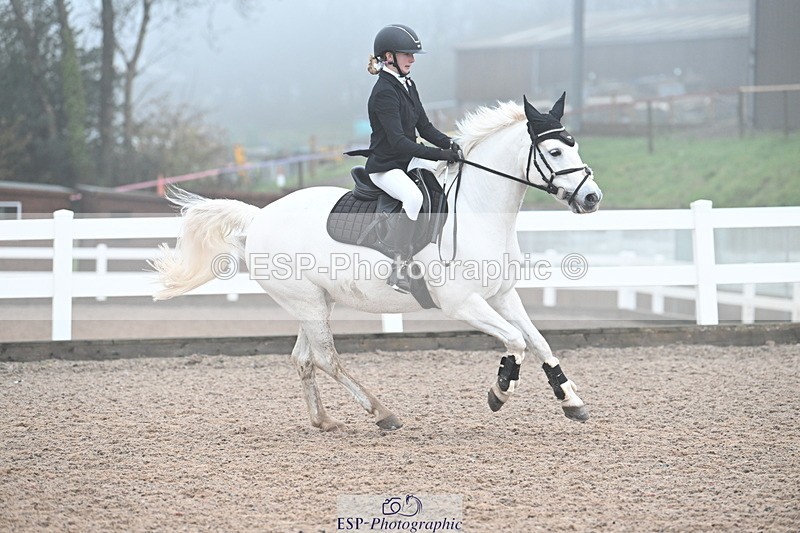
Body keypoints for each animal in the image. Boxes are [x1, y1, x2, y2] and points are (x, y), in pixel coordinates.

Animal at [150, 93, 603, 431]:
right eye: (555, 150)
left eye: (575, 145)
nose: (592, 197)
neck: (476, 211)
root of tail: (259, 217)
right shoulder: (462, 303)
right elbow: (514, 341)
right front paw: (500, 391)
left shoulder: (503, 294)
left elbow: (538, 341)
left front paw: (571, 400)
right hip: (308, 303)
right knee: (326, 359)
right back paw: (383, 413)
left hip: (313, 301)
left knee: (304, 358)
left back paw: (324, 421)